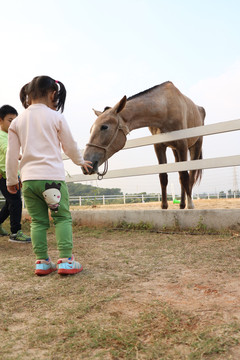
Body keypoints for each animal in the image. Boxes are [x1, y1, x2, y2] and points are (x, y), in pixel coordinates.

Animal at [82, 81, 204, 210]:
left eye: (104, 127)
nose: (86, 164)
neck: (165, 108)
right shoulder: (159, 146)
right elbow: (163, 176)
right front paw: (164, 206)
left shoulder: (182, 144)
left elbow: (186, 176)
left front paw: (191, 205)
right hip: (175, 150)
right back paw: (181, 204)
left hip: (195, 147)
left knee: (190, 175)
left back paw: (187, 203)